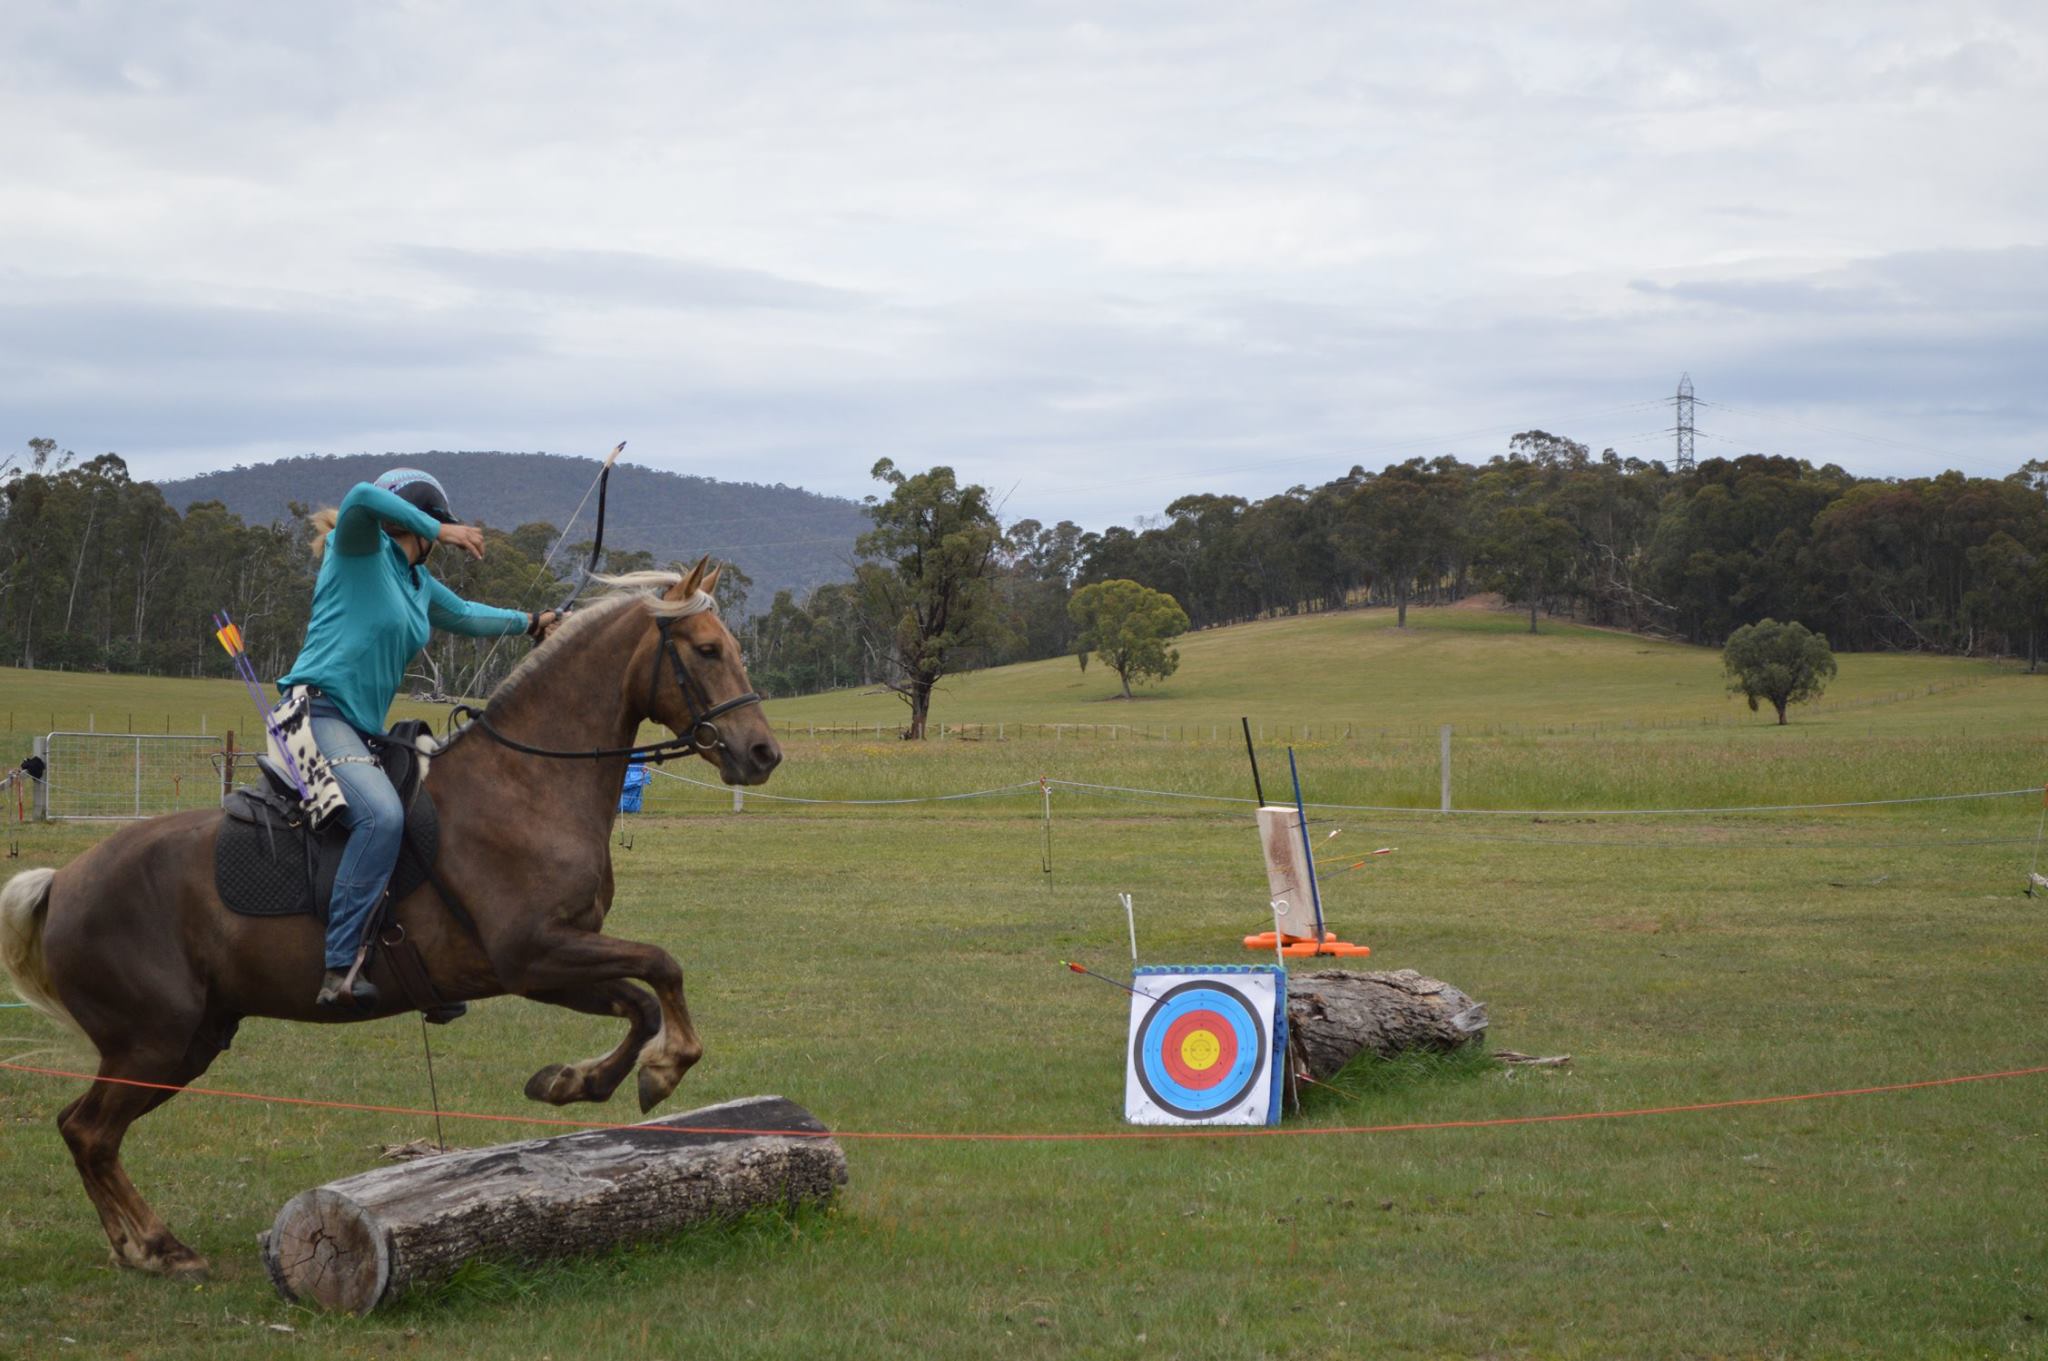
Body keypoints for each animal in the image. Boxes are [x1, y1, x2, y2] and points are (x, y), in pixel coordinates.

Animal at [0, 560, 782, 1277]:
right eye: (707, 649)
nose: (763, 753)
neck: (527, 785)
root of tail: (62, 881)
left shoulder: (550, 966)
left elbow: (640, 1003)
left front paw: (573, 1081)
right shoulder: (535, 954)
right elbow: (662, 967)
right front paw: (663, 1070)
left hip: (190, 1040)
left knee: (85, 1129)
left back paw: (140, 1244)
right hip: (153, 1041)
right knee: (89, 1131)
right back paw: (156, 1246)